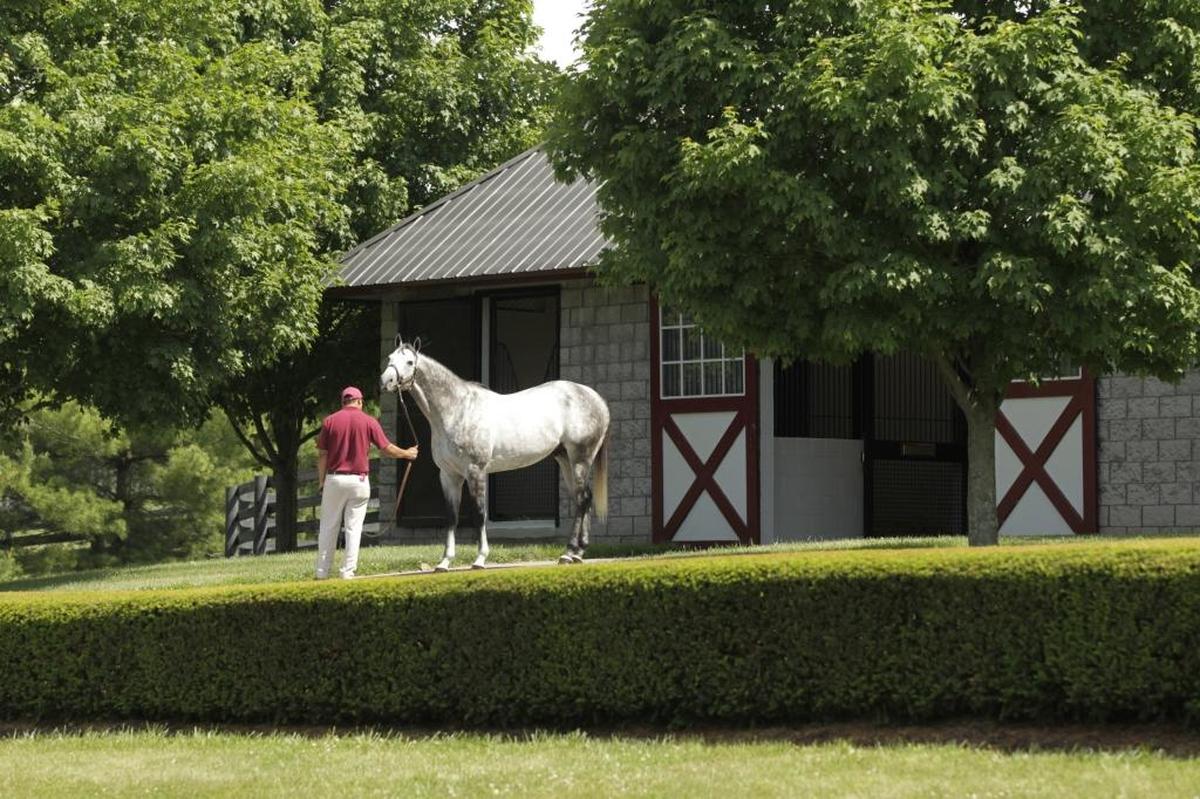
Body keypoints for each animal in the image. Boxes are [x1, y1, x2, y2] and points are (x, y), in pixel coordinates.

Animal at [380, 337, 610, 571]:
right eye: (390, 357)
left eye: (409, 362)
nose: (386, 380)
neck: (457, 410)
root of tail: (595, 398)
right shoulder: (449, 475)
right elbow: (451, 517)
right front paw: (444, 562)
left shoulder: (475, 471)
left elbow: (480, 513)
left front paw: (480, 559)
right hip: (565, 459)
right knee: (583, 498)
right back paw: (578, 552)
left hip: (580, 458)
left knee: (582, 499)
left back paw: (569, 552)